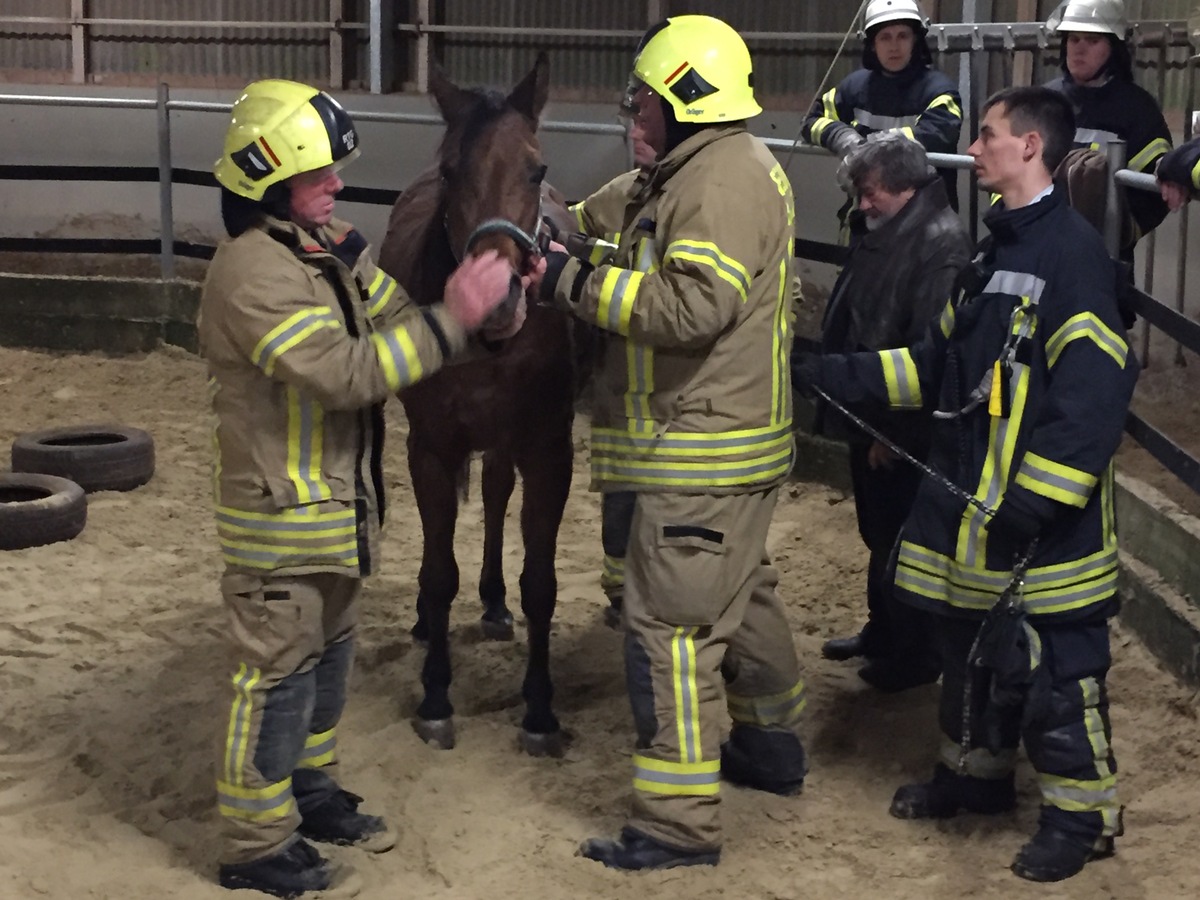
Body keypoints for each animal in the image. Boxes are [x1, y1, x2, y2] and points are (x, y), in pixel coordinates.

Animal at [376, 54, 578, 763]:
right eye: (449, 171)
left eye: (536, 169)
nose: (496, 303)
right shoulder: (431, 449)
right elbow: (440, 574)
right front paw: (436, 699)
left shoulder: (548, 452)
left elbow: (541, 583)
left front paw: (540, 710)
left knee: (493, 497)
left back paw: (493, 604)